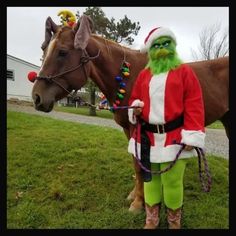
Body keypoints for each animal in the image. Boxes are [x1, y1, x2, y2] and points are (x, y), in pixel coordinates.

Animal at [31, 15, 229, 214]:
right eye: (44, 49)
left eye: (62, 52)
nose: (37, 97)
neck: (128, 76)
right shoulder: (129, 130)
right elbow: (136, 164)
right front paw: (135, 195)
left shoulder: (137, 128)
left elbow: (139, 166)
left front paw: (138, 203)